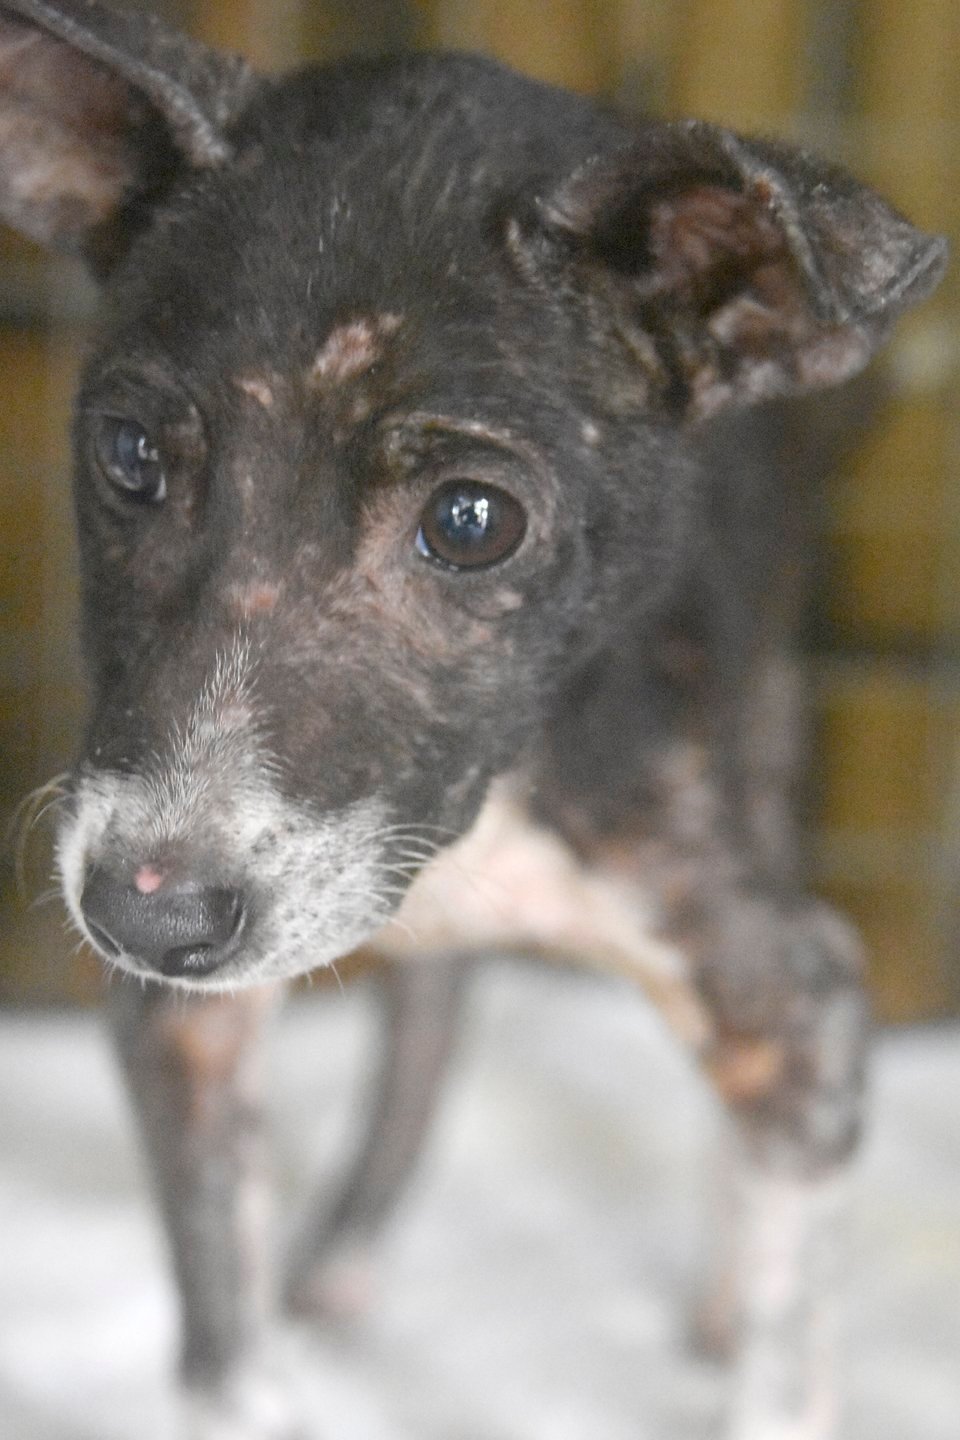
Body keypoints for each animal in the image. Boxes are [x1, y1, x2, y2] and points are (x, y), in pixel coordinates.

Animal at [0, 1, 946, 1436]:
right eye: (128, 455)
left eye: (471, 521)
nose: (144, 919)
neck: (485, 807)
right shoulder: (184, 1022)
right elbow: (229, 1353)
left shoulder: (796, 986)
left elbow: (789, 1354)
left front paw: (748, 1327)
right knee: (428, 1018)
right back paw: (339, 1258)